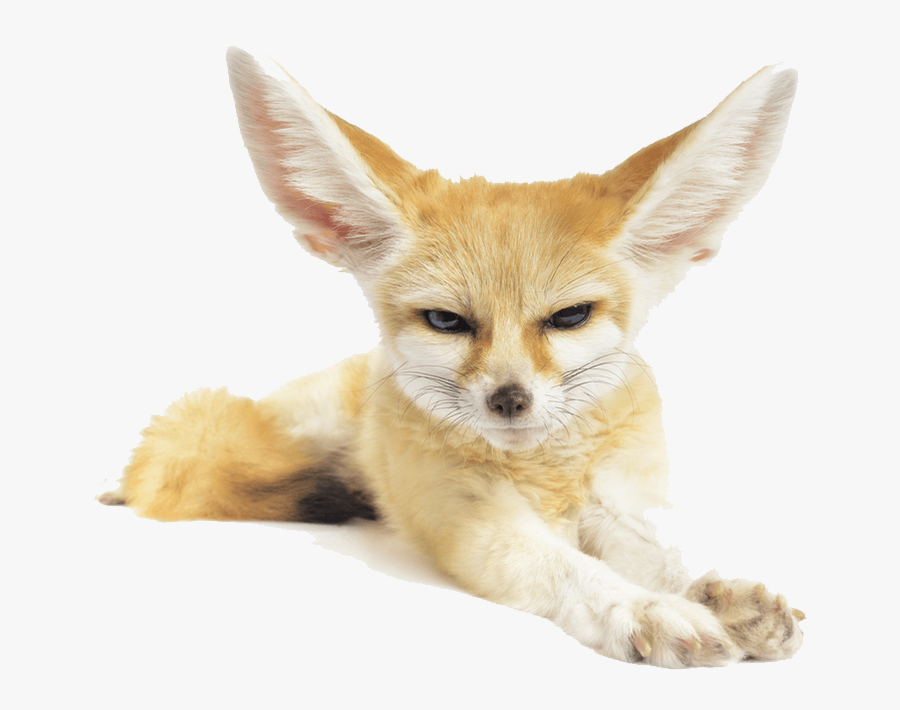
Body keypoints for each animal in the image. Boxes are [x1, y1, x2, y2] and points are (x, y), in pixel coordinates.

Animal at [99, 47, 804, 668]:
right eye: (446, 321)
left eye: (569, 317)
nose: (509, 400)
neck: (543, 477)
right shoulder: (468, 515)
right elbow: (564, 567)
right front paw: (644, 609)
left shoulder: (610, 499)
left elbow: (651, 554)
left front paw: (717, 596)